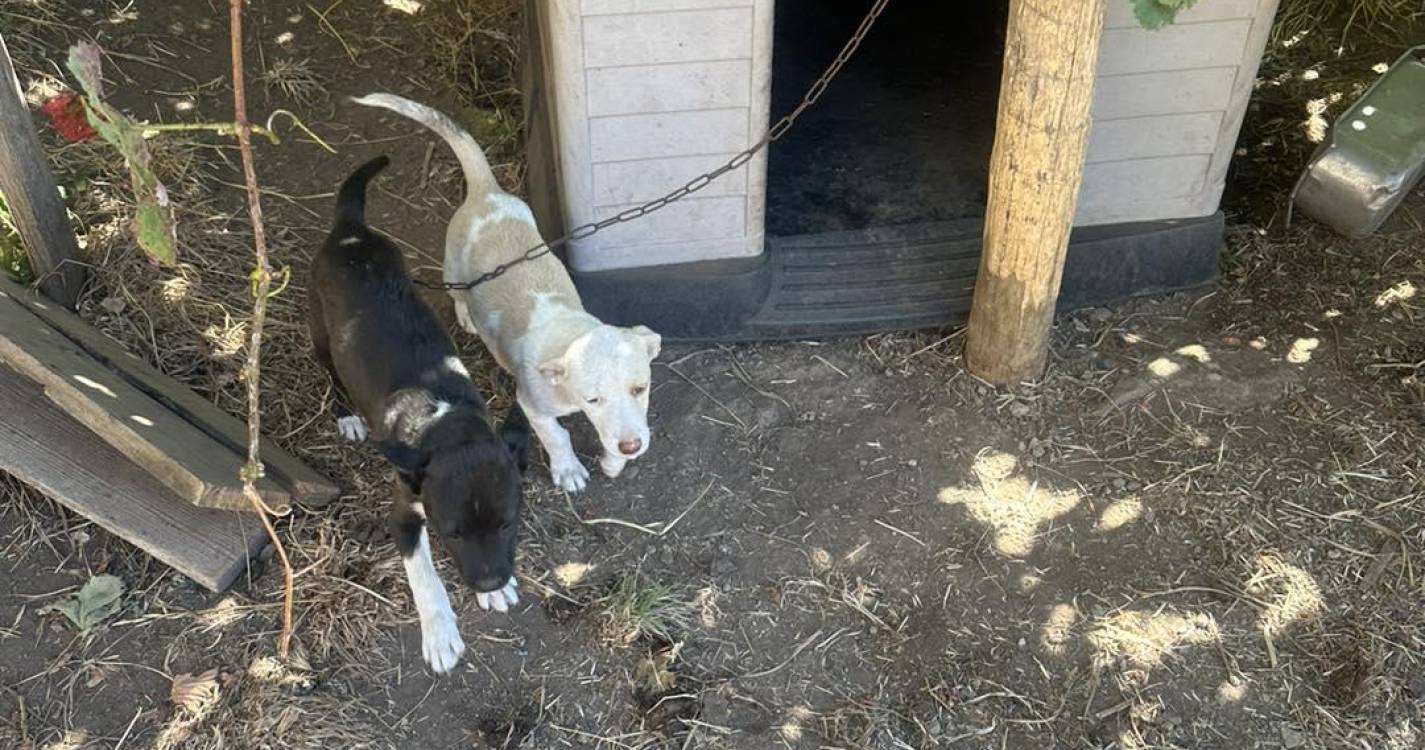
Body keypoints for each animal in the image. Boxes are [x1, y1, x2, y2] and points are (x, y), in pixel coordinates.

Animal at [306, 156, 530, 673]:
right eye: (451, 533)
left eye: (507, 523)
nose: (489, 583)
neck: (443, 419)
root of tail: (349, 232)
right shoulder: (403, 515)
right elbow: (425, 576)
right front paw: (441, 633)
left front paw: (496, 592)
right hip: (321, 332)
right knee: (329, 370)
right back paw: (347, 416)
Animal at [350, 94, 661, 493]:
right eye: (593, 398)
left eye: (641, 388)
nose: (631, 446)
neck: (569, 332)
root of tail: (487, 193)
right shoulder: (531, 404)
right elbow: (557, 436)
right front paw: (569, 470)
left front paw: (614, 461)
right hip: (452, 269)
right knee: (459, 295)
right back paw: (466, 315)